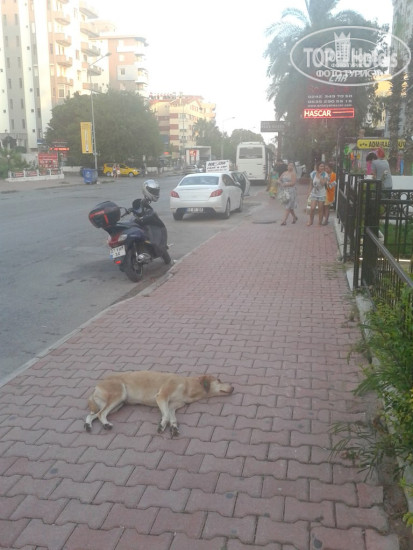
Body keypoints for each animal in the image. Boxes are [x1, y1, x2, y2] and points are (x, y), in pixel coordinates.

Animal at [84, 371, 234, 437]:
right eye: (219, 380)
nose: (233, 388)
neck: (187, 385)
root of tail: (96, 386)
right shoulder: (162, 397)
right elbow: (166, 416)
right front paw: (162, 426)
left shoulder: (172, 406)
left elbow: (172, 417)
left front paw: (174, 427)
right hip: (119, 395)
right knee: (101, 414)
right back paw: (106, 424)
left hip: (117, 405)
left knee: (93, 414)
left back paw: (88, 425)